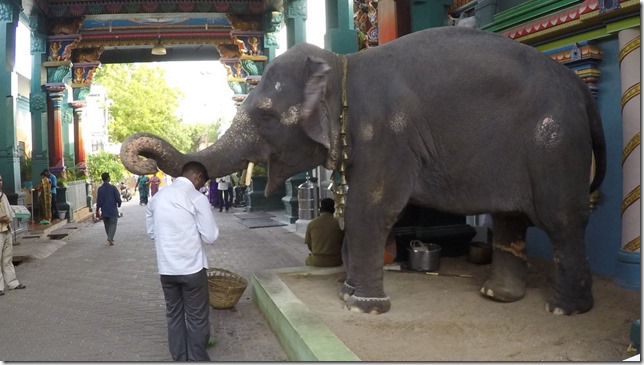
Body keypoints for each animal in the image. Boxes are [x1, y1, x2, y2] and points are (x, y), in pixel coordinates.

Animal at [119, 27, 604, 314]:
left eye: (265, 115)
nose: (147, 164)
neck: (343, 64)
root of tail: (579, 88)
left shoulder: (384, 131)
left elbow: (371, 208)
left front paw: (362, 306)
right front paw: (351, 294)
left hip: (555, 144)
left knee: (562, 221)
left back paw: (565, 309)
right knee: (510, 220)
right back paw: (497, 296)